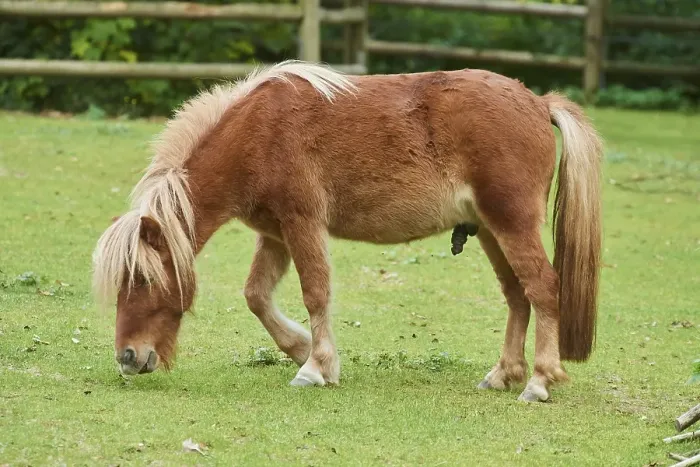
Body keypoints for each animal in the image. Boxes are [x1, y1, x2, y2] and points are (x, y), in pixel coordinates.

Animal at [92, 60, 602, 402]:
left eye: (144, 279)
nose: (127, 357)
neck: (258, 133)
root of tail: (538, 103)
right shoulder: (275, 234)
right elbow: (256, 295)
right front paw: (301, 349)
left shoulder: (302, 224)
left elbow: (315, 292)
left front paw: (315, 368)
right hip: (494, 232)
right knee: (518, 296)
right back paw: (503, 374)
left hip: (512, 224)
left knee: (543, 288)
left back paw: (538, 381)